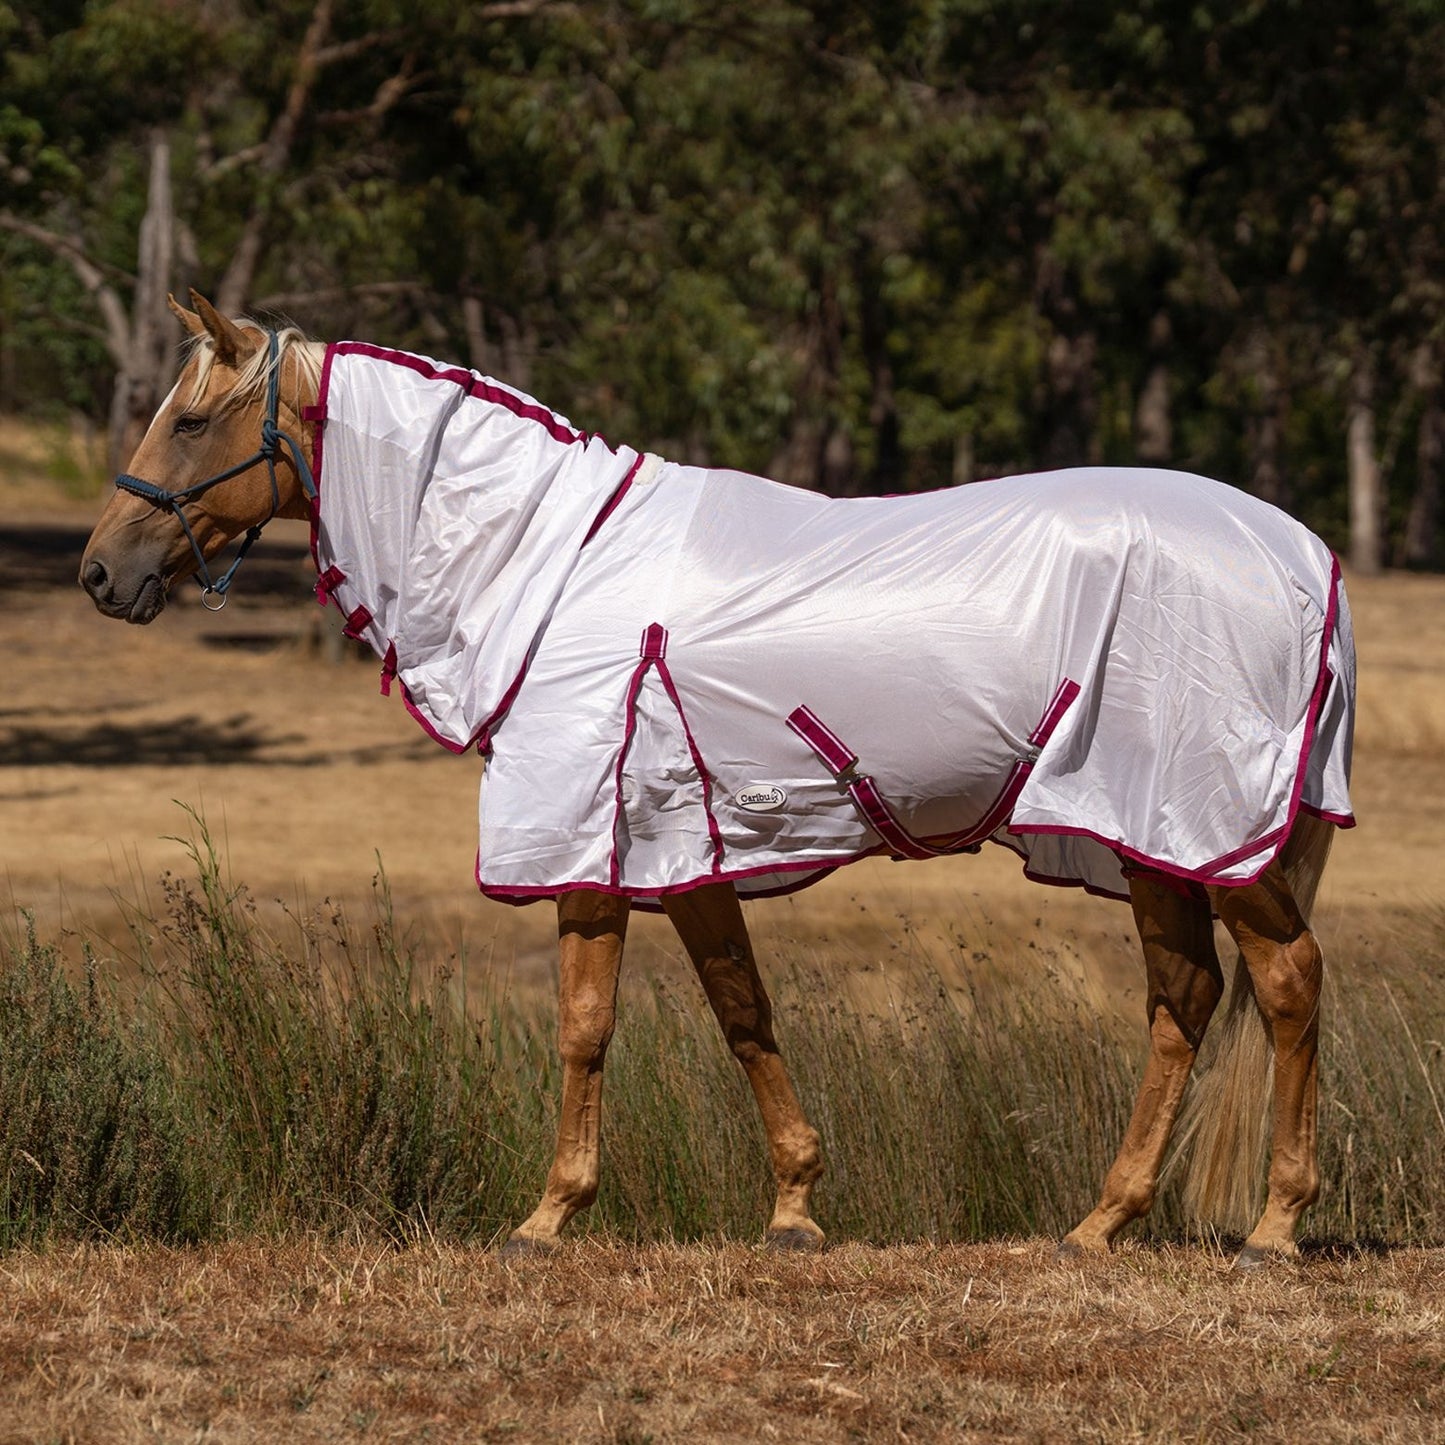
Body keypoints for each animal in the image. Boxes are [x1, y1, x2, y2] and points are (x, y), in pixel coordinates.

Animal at [81, 292, 1355, 1266]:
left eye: (188, 421)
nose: (101, 573)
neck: (551, 565)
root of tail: (1302, 555)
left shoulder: (585, 840)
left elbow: (583, 1024)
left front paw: (546, 1216)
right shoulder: (679, 847)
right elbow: (741, 1008)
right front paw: (793, 1205)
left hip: (1203, 834)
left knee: (1285, 982)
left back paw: (1274, 1227)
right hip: (1141, 836)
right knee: (1183, 998)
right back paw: (1100, 1221)